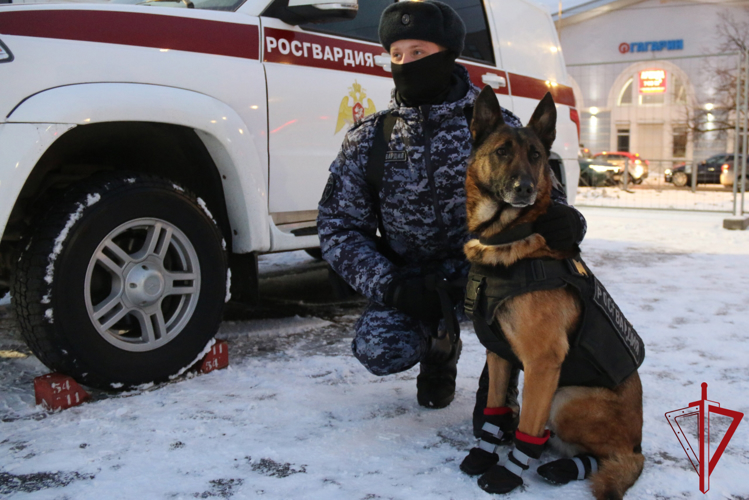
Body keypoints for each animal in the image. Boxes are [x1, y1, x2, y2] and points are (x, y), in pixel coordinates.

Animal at [462, 87, 644, 500]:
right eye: (502, 151)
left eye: (536, 156)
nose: (525, 189)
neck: (507, 235)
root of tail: (638, 440)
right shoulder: (499, 355)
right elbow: (495, 411)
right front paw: (484, 453)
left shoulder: (543, 363)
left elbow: (526, 429)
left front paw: (507, 474)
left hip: (566, 397)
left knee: (611, 456)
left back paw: (566, 467)